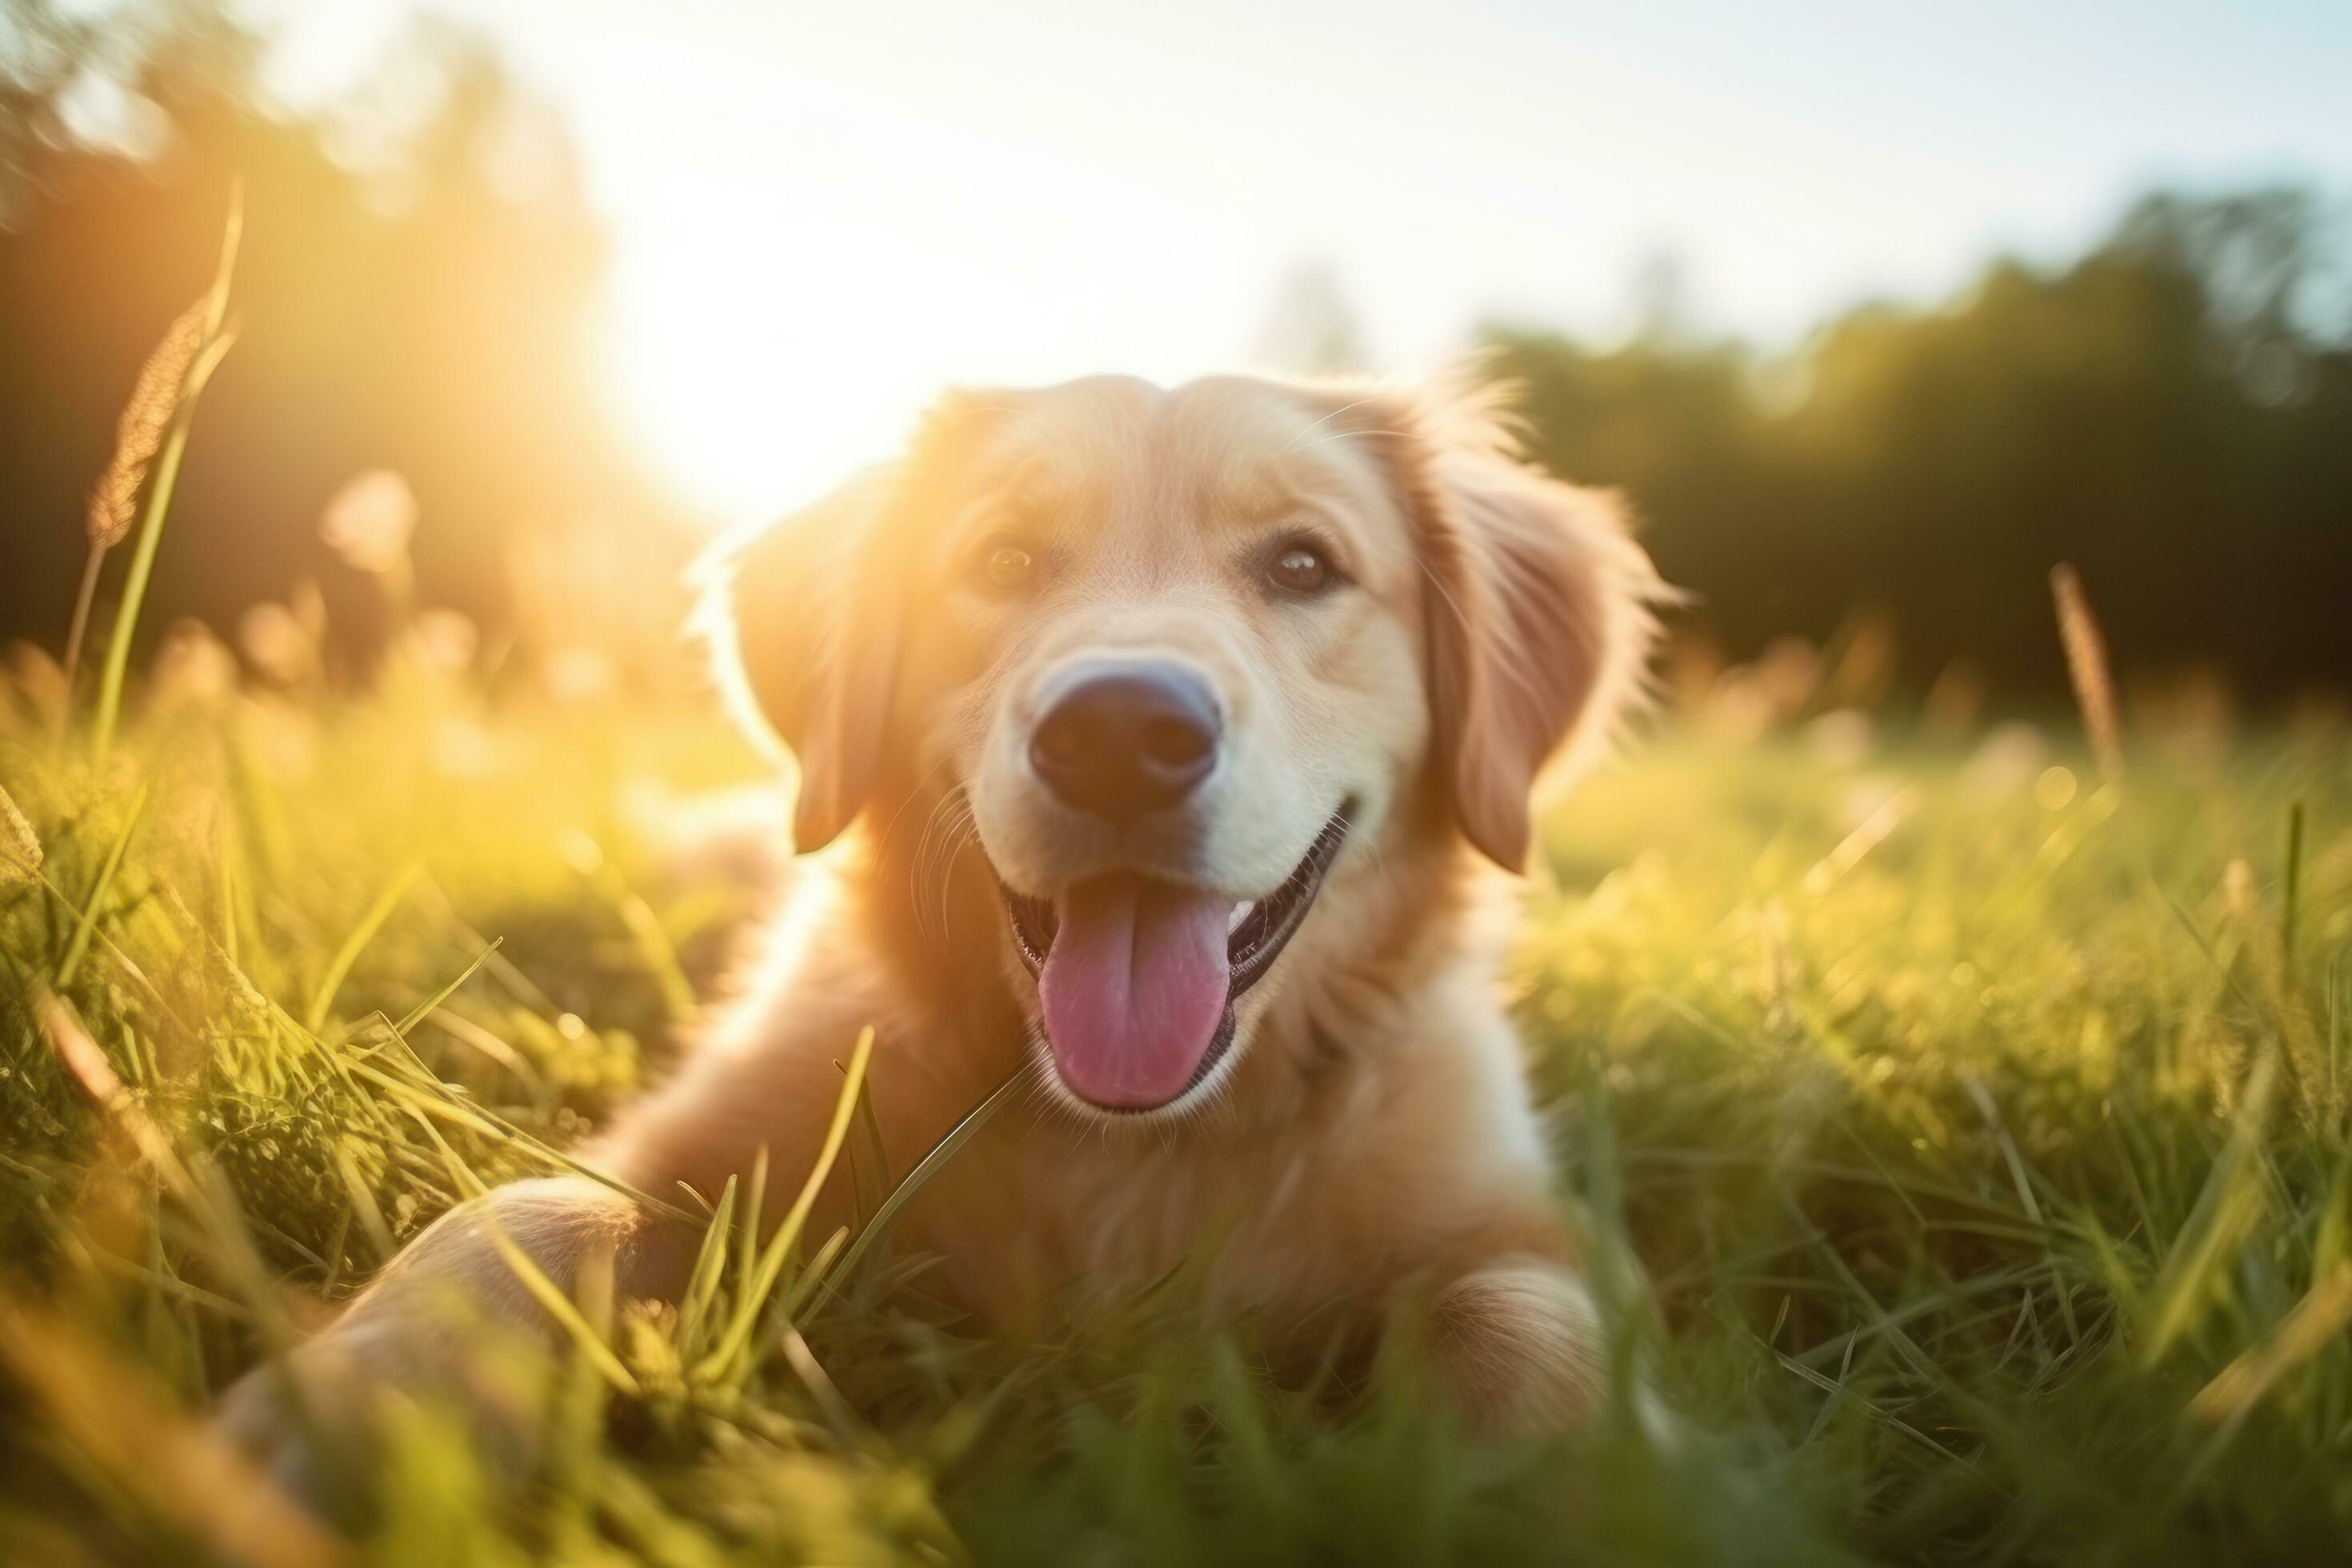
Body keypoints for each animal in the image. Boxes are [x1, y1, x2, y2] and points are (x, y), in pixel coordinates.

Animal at [216, 369, 1655, 1476]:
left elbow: (1533, 1322)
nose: (1120, 731)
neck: (1127, 1143)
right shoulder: (681, 1147)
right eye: (1003, 560)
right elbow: (524, 1214)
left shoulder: (1501, 1215)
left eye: (1304, 564)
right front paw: (343, 1412)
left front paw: (1542, 1493)